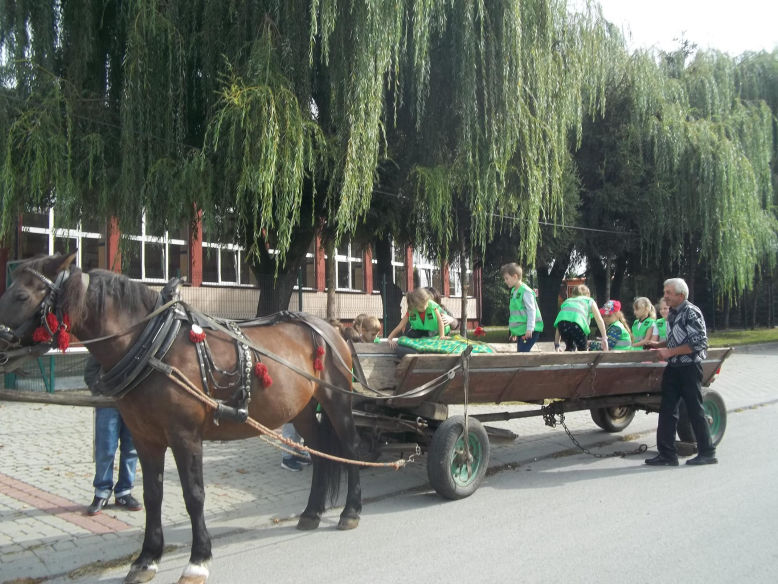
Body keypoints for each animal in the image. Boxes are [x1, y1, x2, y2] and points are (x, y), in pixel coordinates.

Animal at [0, 254, 362, 584]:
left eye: (22, 296)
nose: (1, 344)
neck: (153, 345)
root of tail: (331, 328)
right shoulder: (145, 437)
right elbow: (152, 495)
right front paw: (146, 559)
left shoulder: (185, 436)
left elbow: (194, 495)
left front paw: (198, 560)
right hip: (302, 411)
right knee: (320, 452)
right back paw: (312, 512)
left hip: (337, 402)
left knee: (349, 451)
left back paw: (350, 512)